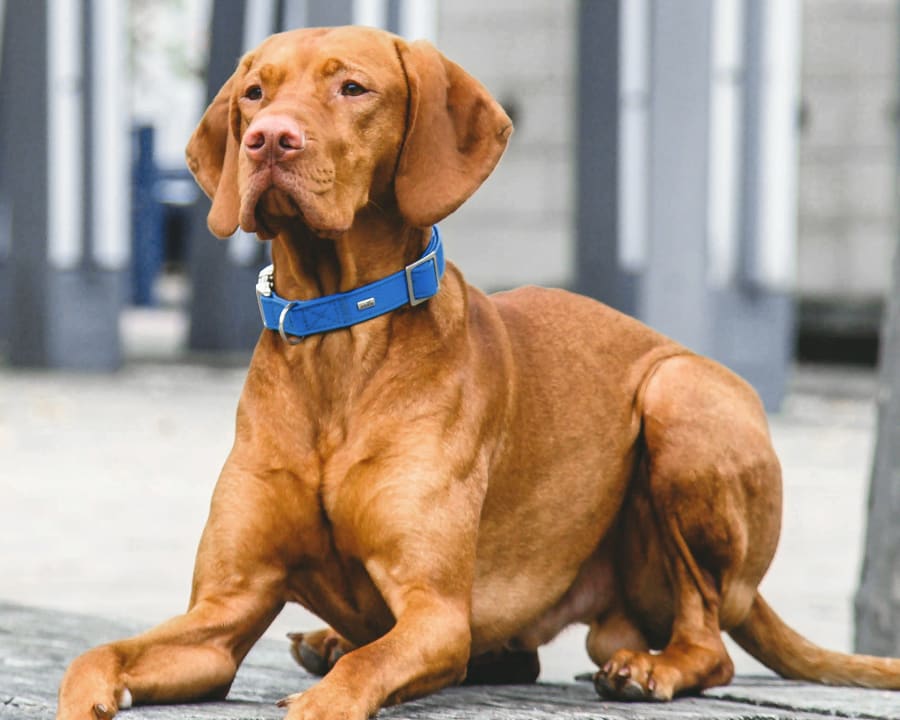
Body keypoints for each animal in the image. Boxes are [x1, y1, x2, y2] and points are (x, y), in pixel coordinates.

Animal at [58, 25, 900, 716]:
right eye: (254, 94)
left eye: (352, 88)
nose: (268, 139)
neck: (339, 338)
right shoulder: (222, 612)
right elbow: (94, 657)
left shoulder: (435, 612)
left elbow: (363, 675)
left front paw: (331, 689)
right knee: (511, 655)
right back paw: (331, 640)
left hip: (680, 398)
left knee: (709, 643)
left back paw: (651, 667)